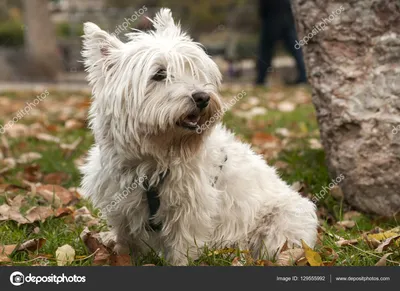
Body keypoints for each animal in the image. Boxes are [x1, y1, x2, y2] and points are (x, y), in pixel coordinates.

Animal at [80, 8, 318, 266]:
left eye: (193, 71)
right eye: (159, 74)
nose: (203, 97)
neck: (153, 157)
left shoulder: (190, 210)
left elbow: (182, 248)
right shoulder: (121, 205)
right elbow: (127, 242)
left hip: (280, 220)